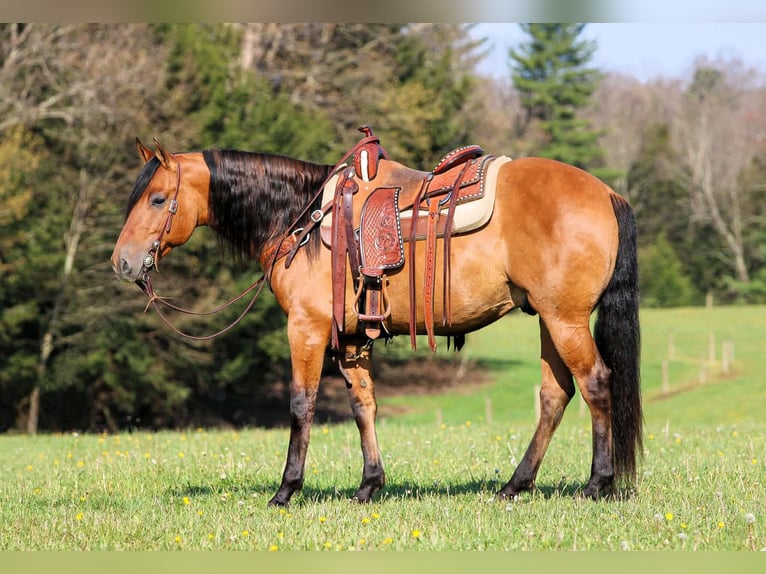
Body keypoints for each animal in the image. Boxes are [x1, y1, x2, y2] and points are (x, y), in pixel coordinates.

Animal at [111, 135, 642, 506]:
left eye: (156, 199)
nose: (122, 262)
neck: (302, 220)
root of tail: (607, 192)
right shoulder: (349, 338)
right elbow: (362, 405)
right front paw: (369, 485)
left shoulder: (305, 329)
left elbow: (301, 405)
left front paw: (287, 490)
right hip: (549, 319)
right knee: (555, 395)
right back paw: (516, 484)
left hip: (565, 319)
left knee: (596, 383)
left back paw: (597, 483)